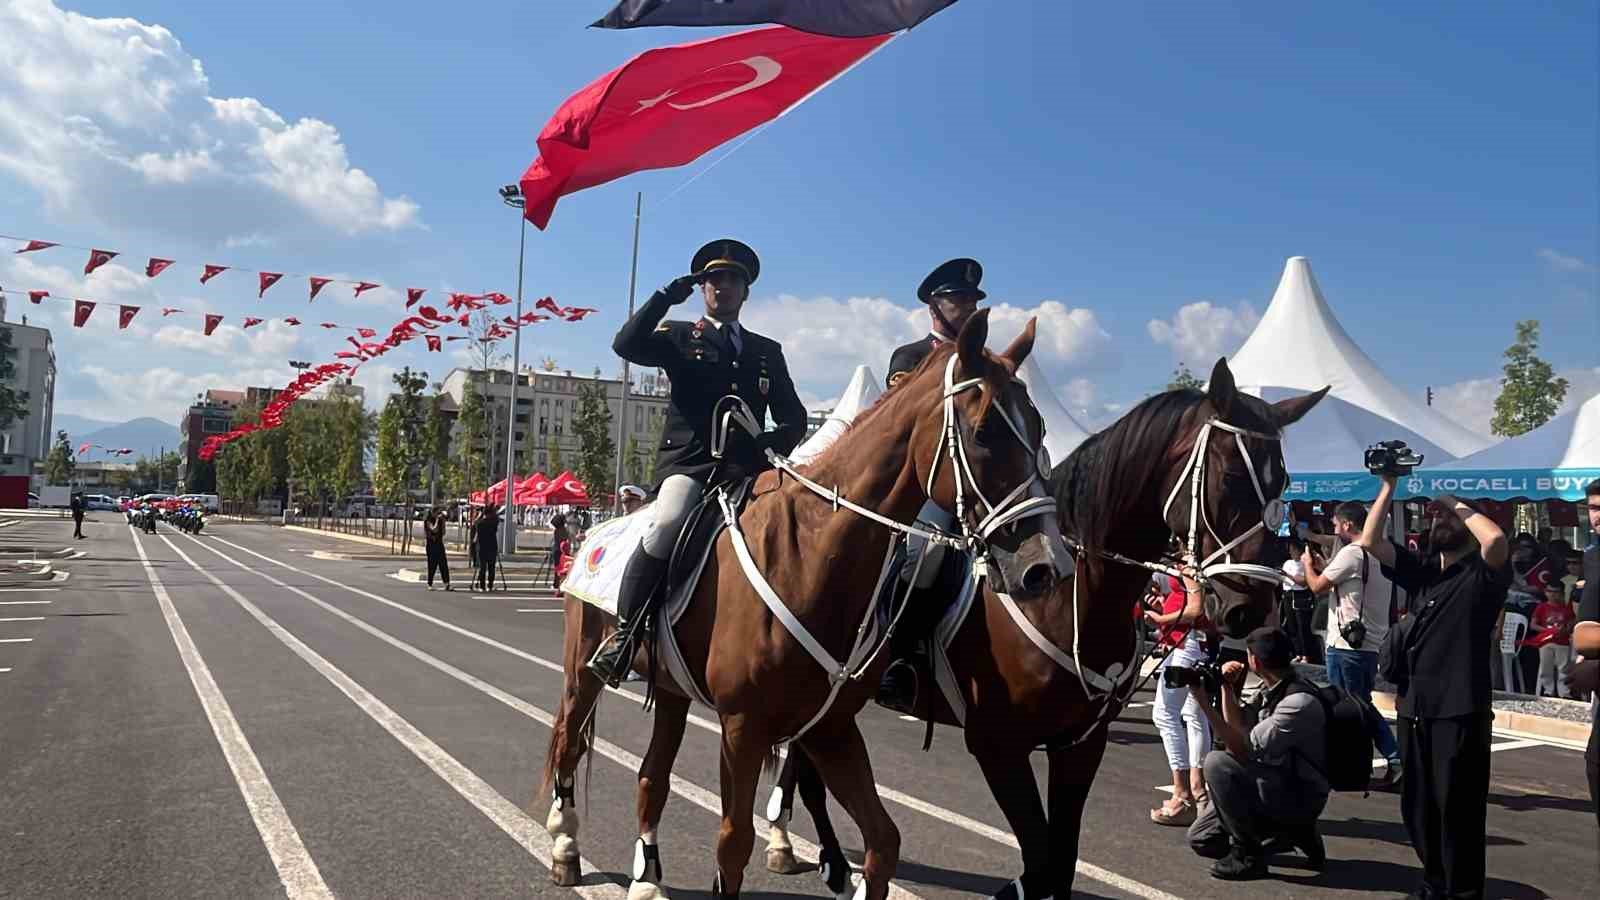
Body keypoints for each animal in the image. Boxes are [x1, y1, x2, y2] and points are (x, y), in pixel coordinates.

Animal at [544, 310, 1068, 896]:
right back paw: (565, 846)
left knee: (651, 776)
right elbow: (733, 845)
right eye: (982, 433)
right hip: (581, 673)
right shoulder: (743, 727)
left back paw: (647, 876)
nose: (1045, 567)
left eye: (1041, 430)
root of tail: (595, 533)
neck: (808, 553)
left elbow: (884, 842)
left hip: (672, 689)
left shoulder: (830, 728)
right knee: (568, 742)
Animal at [768, 357, 1331, 896]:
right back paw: (794, 847)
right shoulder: (998, 747)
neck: (1072, 597)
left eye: (1283, 484)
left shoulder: (1078, 746)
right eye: (1231, 476)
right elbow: (1039, 867)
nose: (1252, 607)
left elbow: (1057, 866)